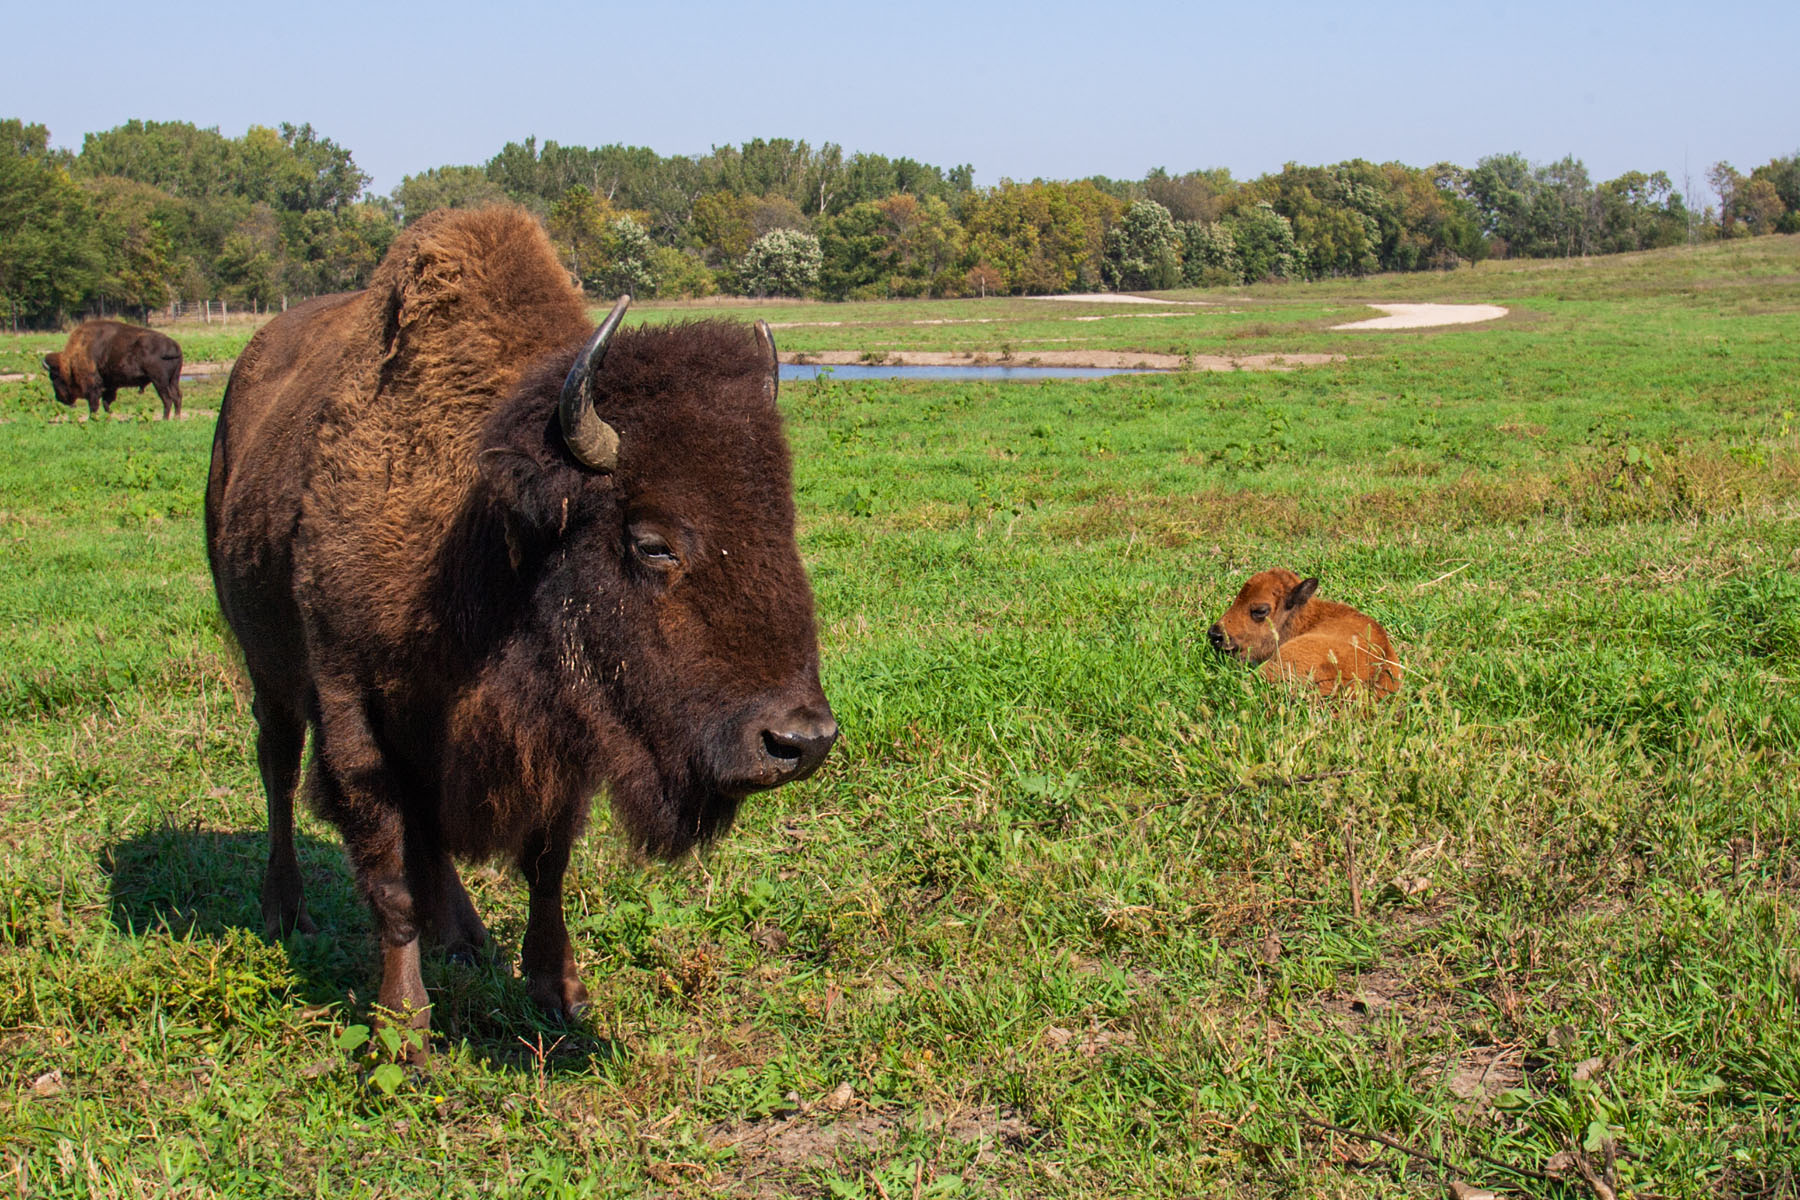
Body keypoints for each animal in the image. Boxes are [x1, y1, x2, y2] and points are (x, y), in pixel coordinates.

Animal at [44, 319, 184, 419]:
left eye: (54, 377)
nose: (58, 398)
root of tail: (174, 346)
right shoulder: (109, 386)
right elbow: (106, 403)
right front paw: (109, 417)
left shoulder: (93, 387)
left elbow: (94, 404)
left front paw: (92, 419)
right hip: (173, 380)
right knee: (177, 397)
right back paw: (176, 418)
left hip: (159, 381)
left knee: (167, 399)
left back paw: (164, 419)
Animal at [206, 207, 836, 1046]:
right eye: (653, 542)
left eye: (781, 524)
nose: (801, 741)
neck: (484, 537)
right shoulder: (353, 716)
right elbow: (386, 871)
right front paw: (404, 1031)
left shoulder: (557, 736)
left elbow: (545, 861)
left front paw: (557, 990)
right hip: (268, 670)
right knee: (277, 766)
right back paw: (287, 911)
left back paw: (464, 935)